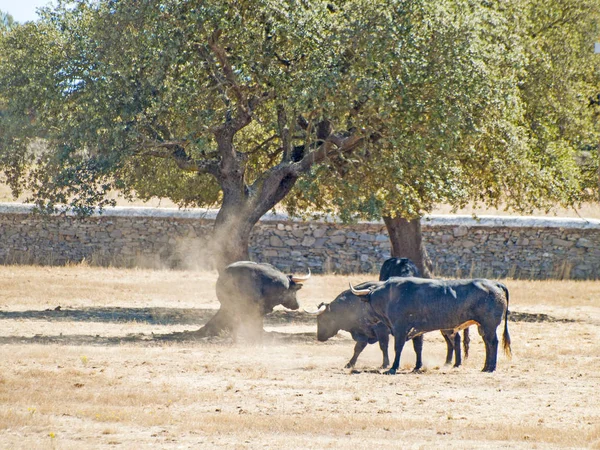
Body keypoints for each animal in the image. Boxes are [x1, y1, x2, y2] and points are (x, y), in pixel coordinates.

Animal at [352, 278, 510, 372]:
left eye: (364, 304)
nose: (363, 319)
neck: (389, 296)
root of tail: (495, 284)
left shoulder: (400, 329)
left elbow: (398, 347)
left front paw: (393, 368)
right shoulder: (416, 330)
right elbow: (418, 348)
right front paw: (417, 366)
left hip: (489, 326)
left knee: (492, 343)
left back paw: (491, 368)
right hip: (482, 327)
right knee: (487, 344)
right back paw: (485, 367)